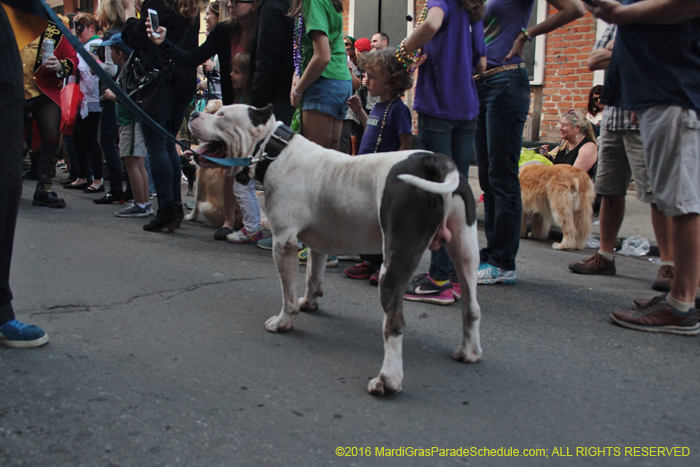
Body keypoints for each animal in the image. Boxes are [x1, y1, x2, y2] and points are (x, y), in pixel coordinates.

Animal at [186, 105, 482, 394]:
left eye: (221, 114)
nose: (193, 113)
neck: (275, 149)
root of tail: (433, 160)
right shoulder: (319, 242)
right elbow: (312, 275)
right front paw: (309, 302)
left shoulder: (283, 243)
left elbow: (287, 293)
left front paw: (283, 321)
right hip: (465, 248)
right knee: (471, 305)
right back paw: (469, 352)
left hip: (395, 261)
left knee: (394, 323)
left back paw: (387, 380)